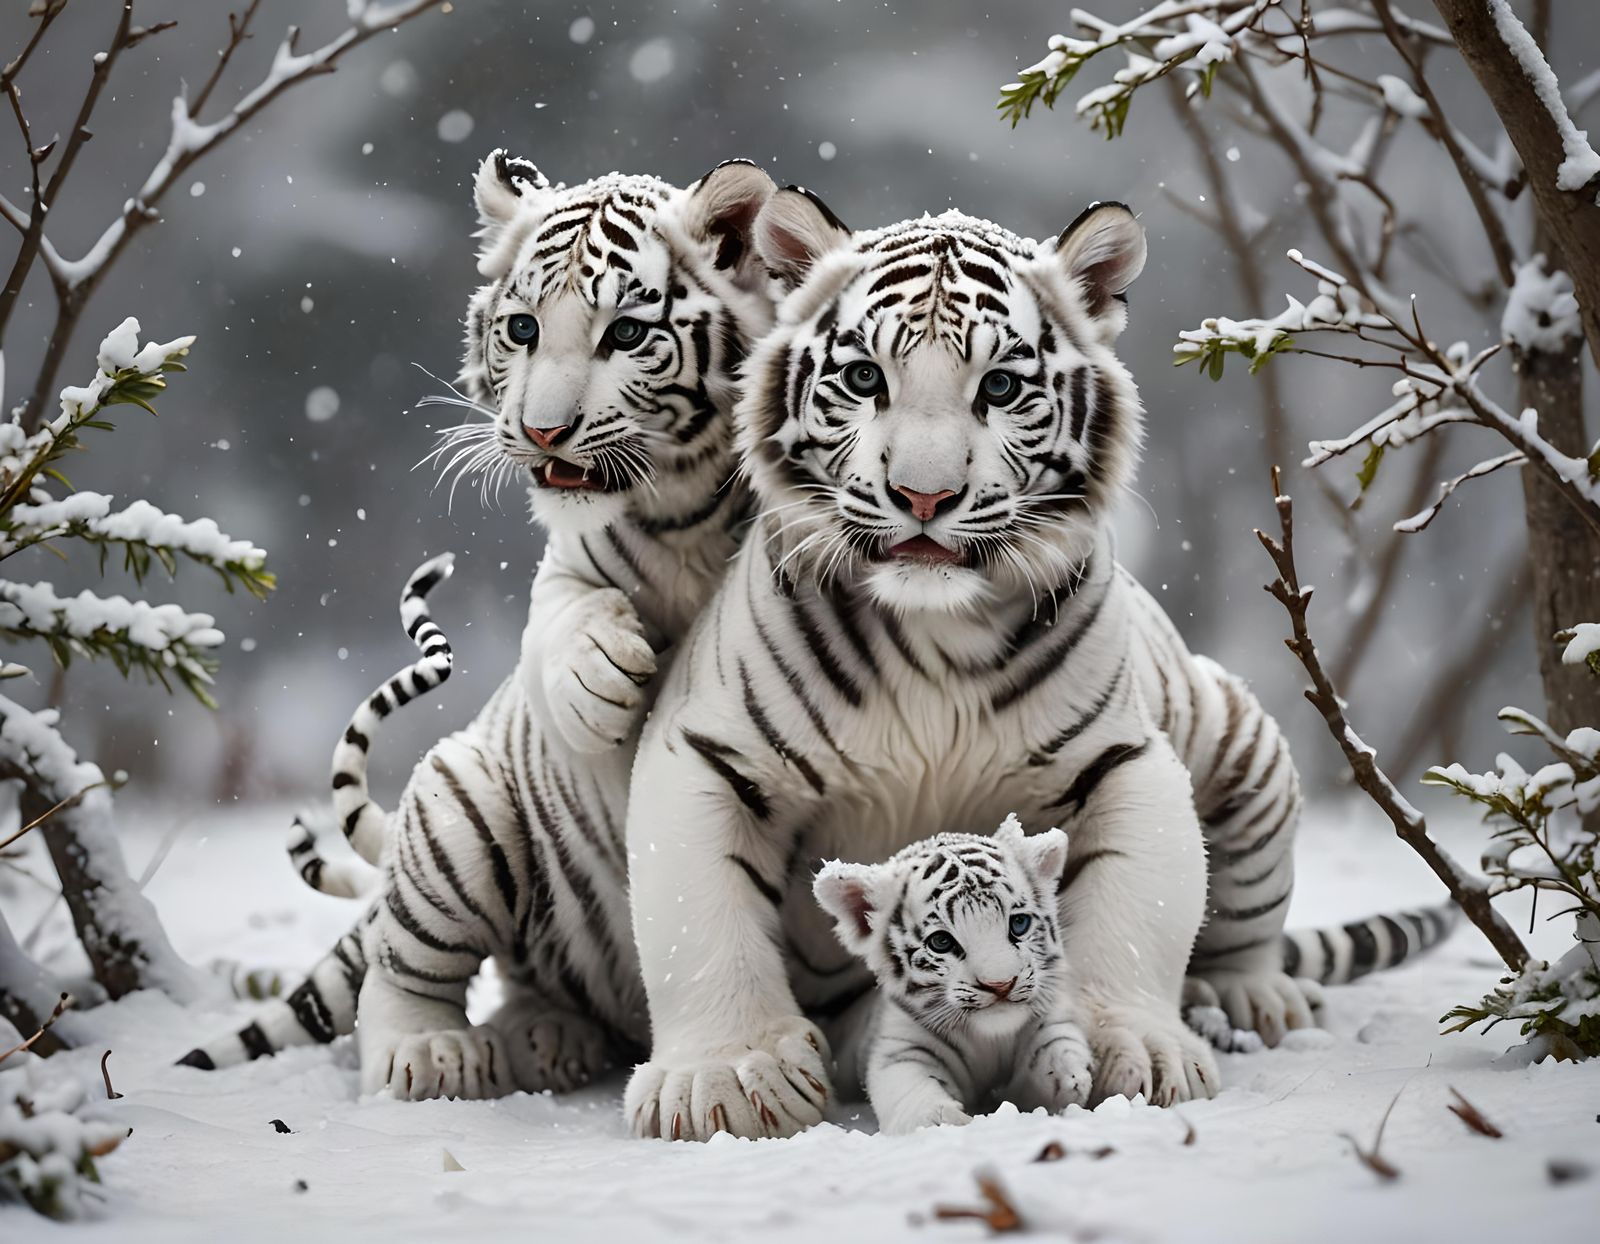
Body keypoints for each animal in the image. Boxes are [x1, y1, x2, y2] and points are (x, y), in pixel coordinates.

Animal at [177, 148, 779, 1097]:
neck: (676, 512)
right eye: (523, 329)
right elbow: (559, 617)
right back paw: (436, 1052)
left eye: (625, 336)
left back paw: (552, 1038)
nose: (542, 432)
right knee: (403, 970)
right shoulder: (568, 569)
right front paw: (600, 676)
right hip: (462, 815)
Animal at [813, 817, 1094, 1134]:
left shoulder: (1049, 1012)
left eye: (1019, 923)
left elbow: (1056, 1040)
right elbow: (911, 1085)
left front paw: (1068, 1074)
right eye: (941, 942)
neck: (990, 1039)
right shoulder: (901, 1047)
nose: (1001, 985)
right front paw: (939, 1120)